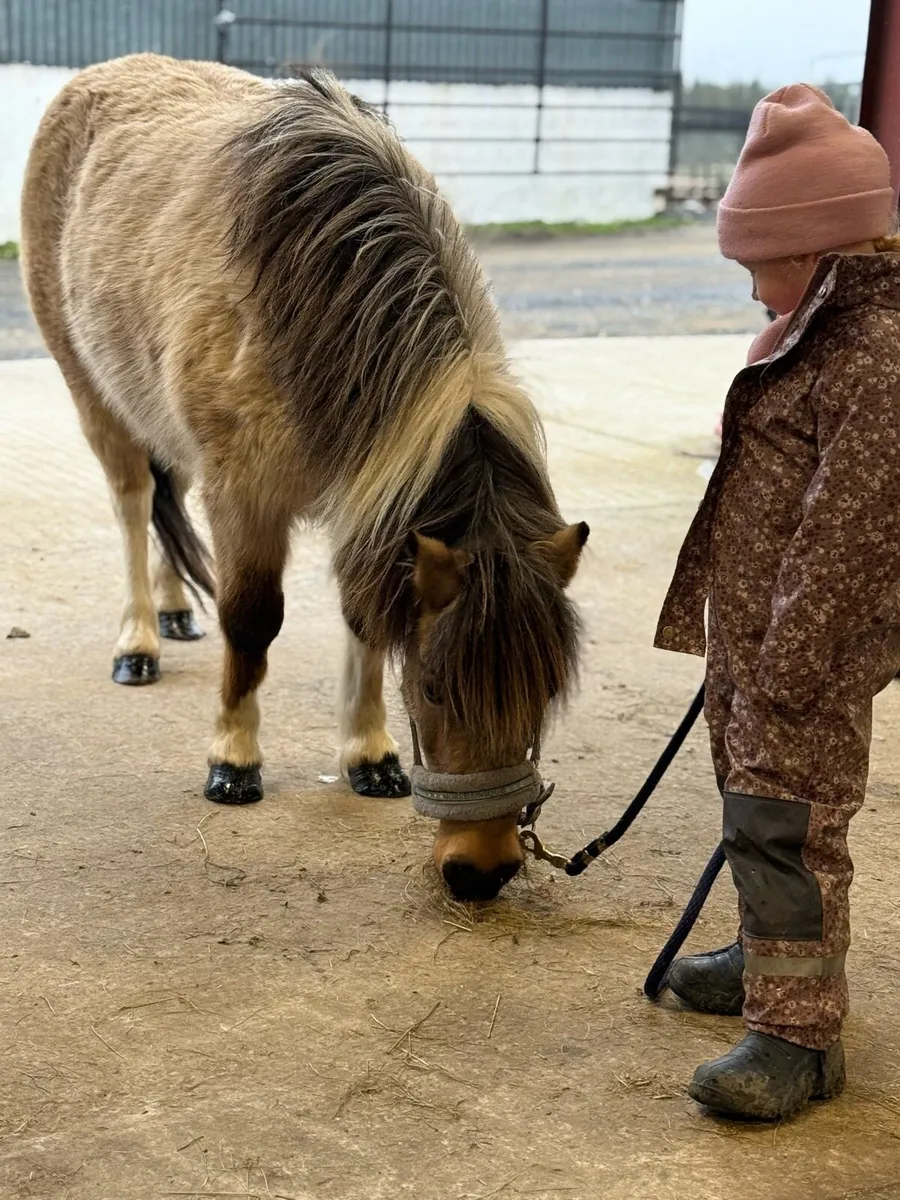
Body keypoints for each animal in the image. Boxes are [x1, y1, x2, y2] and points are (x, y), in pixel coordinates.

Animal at [20, 53, 588, 901]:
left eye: (545, 692)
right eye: (433, 688)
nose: (480, 872)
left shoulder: (366, 496)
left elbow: (364, 616)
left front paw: (370, 756)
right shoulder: (245, 495)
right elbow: (251, 622)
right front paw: (233, 759)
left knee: (164, 498)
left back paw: (173, 609)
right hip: (91, 390)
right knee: (133, 503)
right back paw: (140, 641)